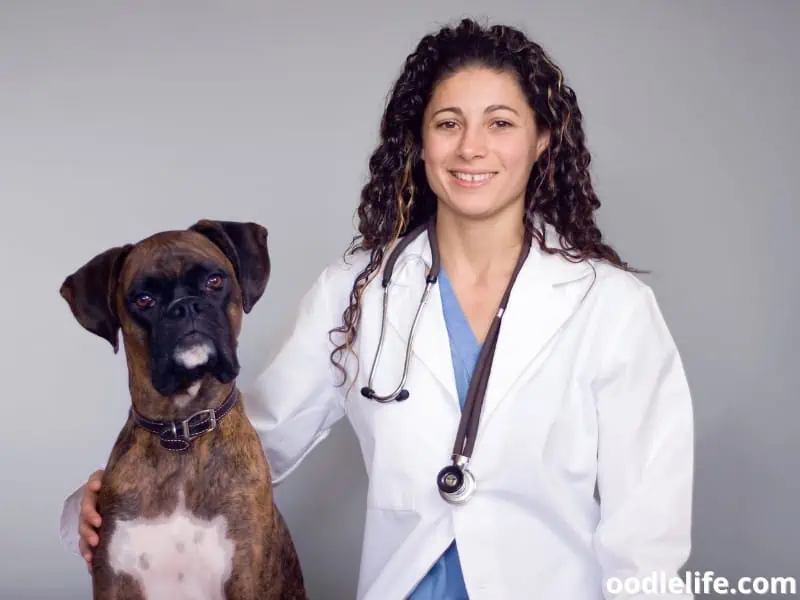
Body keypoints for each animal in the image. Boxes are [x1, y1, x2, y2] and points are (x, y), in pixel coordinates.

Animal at [59, 220, 308, 600]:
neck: (181, 430)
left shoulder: (244, 577)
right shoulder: (114, 583)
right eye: (144, 299)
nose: (187, 306)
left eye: (215, 281)